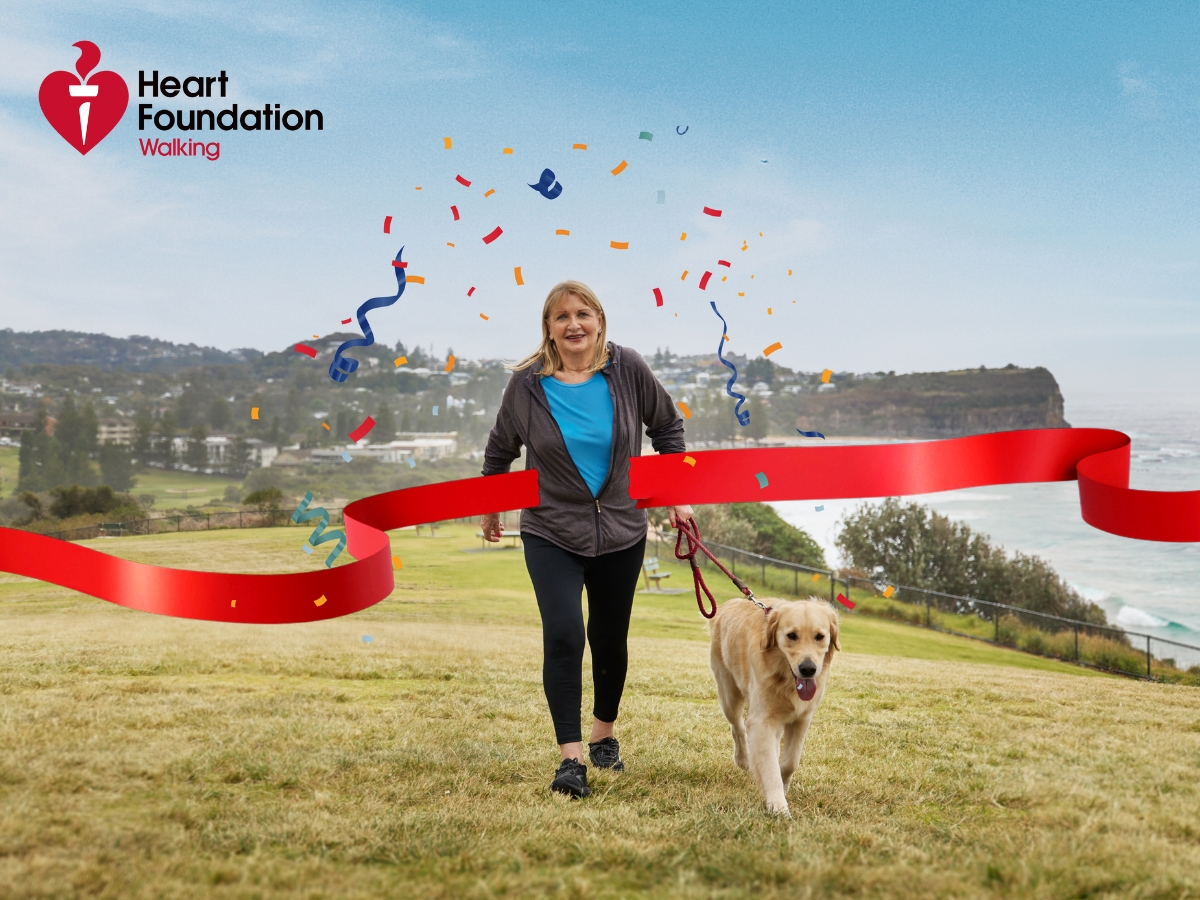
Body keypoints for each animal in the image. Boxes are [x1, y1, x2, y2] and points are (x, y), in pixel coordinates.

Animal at [705, 600, 840, 816]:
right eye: (791, 635)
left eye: (820, 636)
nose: (808, 669)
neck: (785, 679)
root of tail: (731, 601)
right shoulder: (763, 721)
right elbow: (769, 767)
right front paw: (778, 806)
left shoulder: (802, 718)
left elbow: (790, 762)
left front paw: (783, 786)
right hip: (728, 695)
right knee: (738, 727)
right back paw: (743, 759)